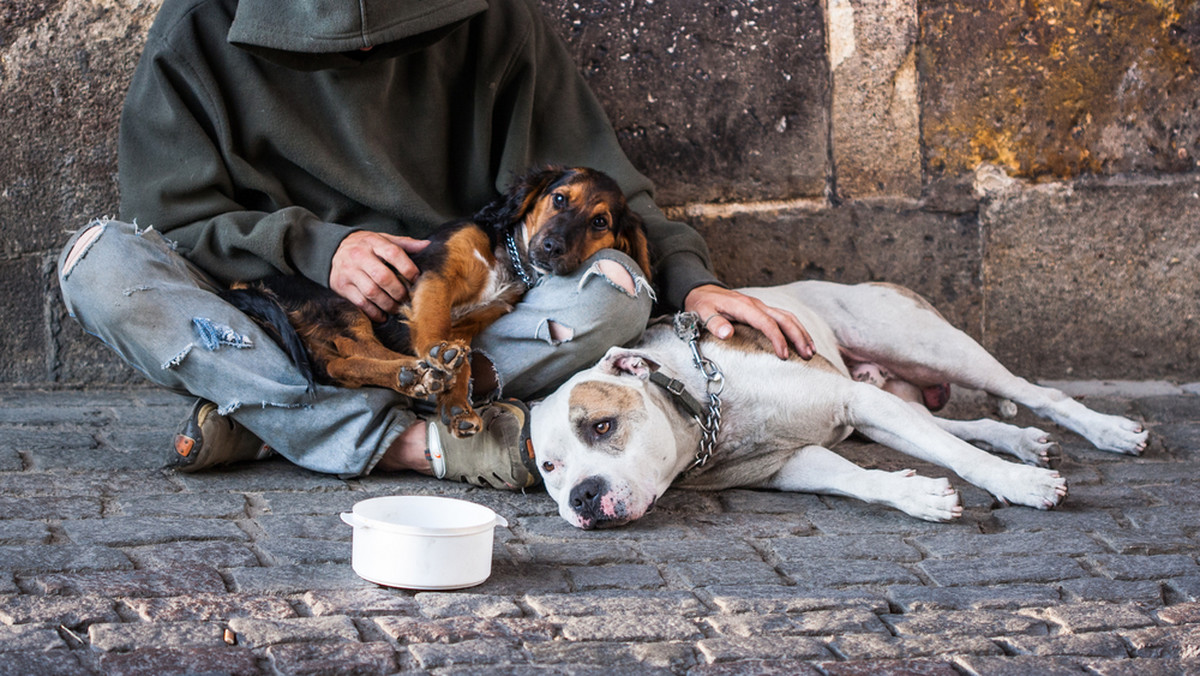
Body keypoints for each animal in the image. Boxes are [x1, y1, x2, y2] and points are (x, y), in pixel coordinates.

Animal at [225, 166, 657, 437]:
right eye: (560, 199)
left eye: (599, 222)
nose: (551, 248)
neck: (508, 258)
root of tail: (243, 286)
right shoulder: (436, 274)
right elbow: (433, 323)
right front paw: (438, 355)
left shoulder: (477, 318)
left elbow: (461, 357)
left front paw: (457, 406)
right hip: (342, 303)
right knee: (353, 349)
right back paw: (413, 373)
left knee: (340, 365)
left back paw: (415, 377)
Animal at [530, 278, 1147, 528]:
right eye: (550, 468)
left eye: (603, 426)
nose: (583, 496)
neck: (704, 411)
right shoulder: (788, 464)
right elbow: (858, 479)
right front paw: (917, 495)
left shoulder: (852, 399)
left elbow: (964, 459)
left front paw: (1019, 485)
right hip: (889, 402)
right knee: (960, 426)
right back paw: (1020, 441)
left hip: (932, 348)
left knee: (1034, 392)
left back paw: (1109, 431)